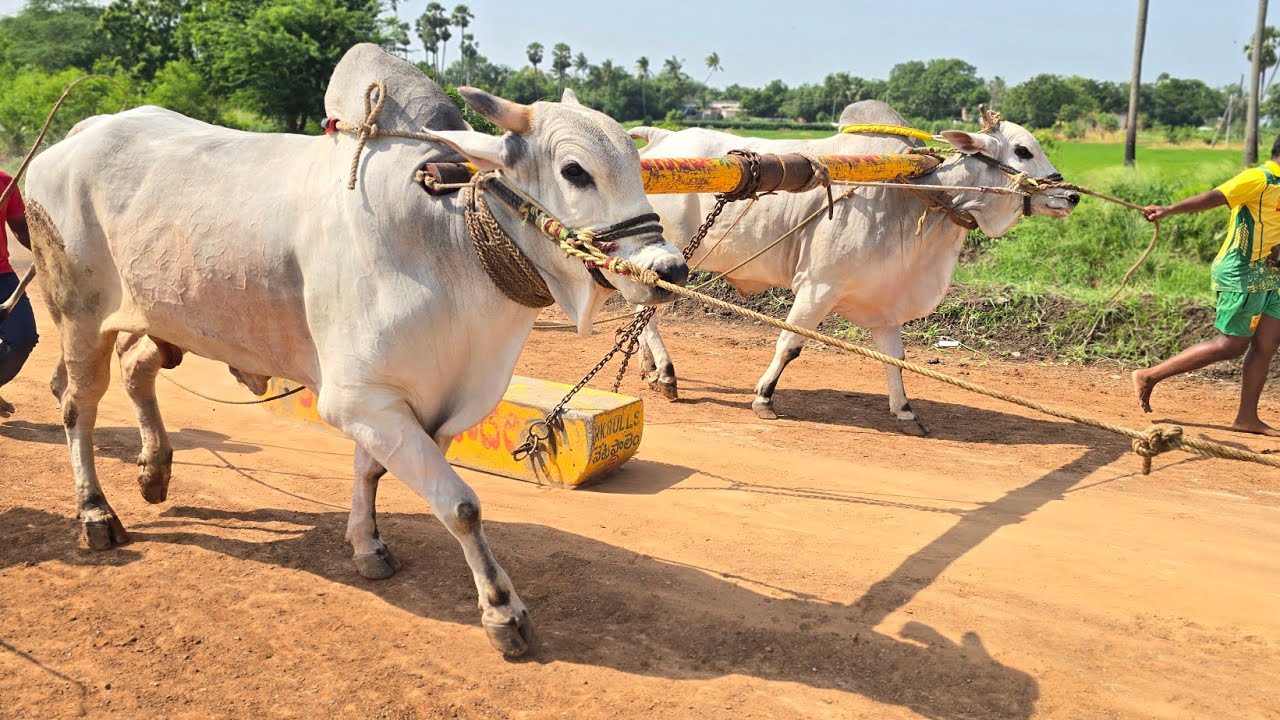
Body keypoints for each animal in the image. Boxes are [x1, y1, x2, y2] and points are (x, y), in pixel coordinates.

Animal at [24, 44, 687, 657]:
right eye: (576, 171)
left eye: (637, 164)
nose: (669, 269)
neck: (450, 248)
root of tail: (76, 135)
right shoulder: (359, 398)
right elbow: (461, 506)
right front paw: (504, 611)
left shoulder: (413, 401)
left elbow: (372, 471)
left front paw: (367, 545)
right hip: (79, 316)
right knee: (77, 405)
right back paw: (96, 513)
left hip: (162, 317)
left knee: (136, 371)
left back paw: (154, 471)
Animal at [630, 102, 1077, 435]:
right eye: (1023, 150)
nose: (1071, 195)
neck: (915, 195)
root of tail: (663, 139)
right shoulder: (818, 286)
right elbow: (789, 344)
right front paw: (764, 397)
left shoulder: (885, 301)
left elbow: (894, 357)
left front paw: (904, 410)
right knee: (646, 310)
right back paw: (666, 373)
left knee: (642, 313)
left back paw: (650, 368)